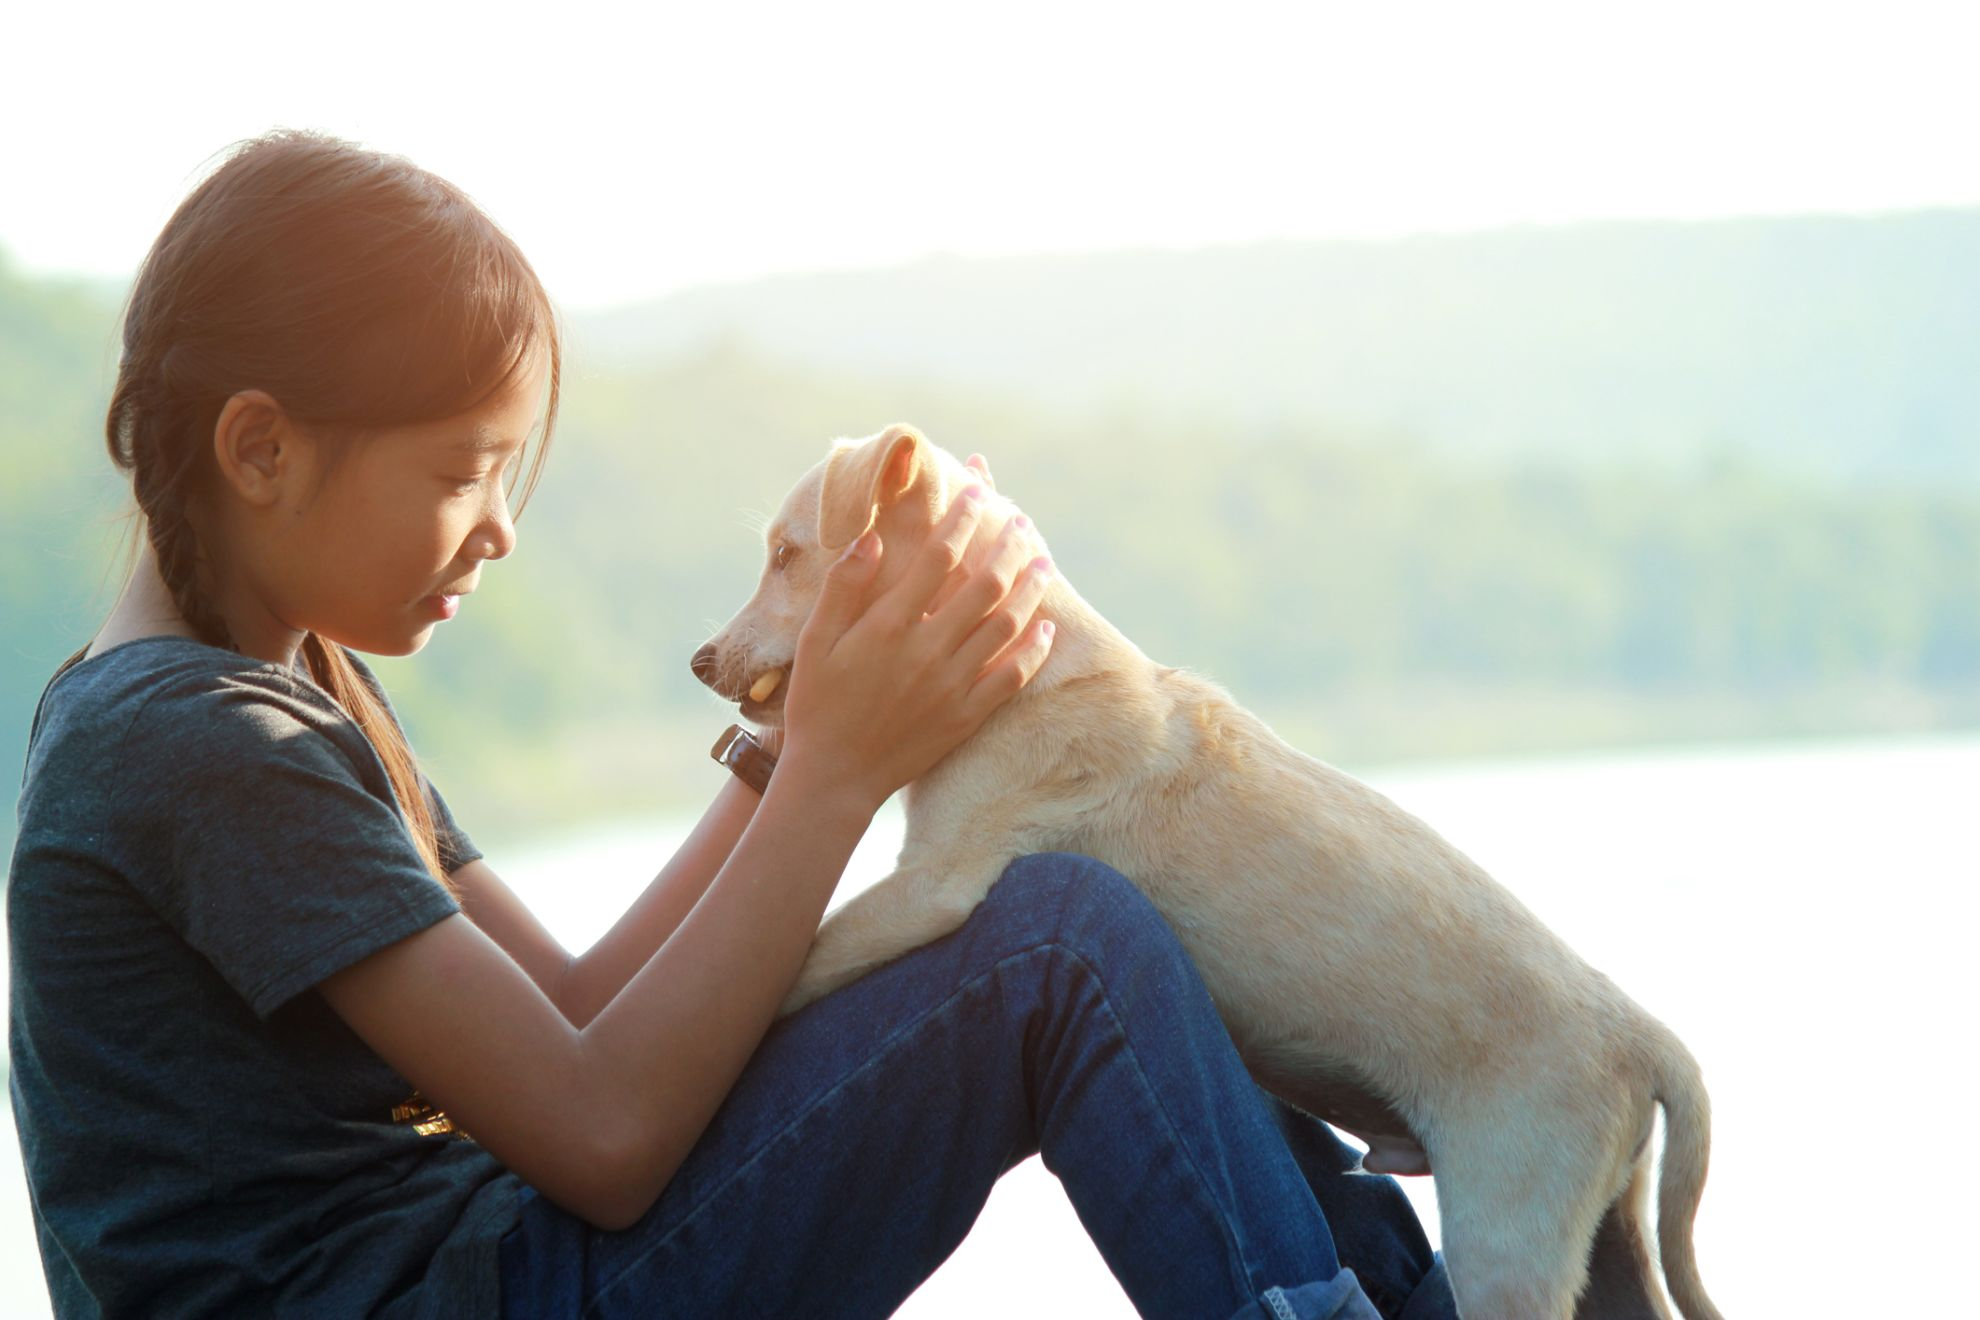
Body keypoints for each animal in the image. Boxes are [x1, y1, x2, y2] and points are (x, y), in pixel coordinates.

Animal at [696, 425, 1718, 1320]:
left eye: (786, 554)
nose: (702, 661)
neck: (1024, 669)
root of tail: (1640, 1035)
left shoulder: (933, 885)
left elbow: (805, 962)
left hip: (1509, 1233)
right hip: (1604, 1240)